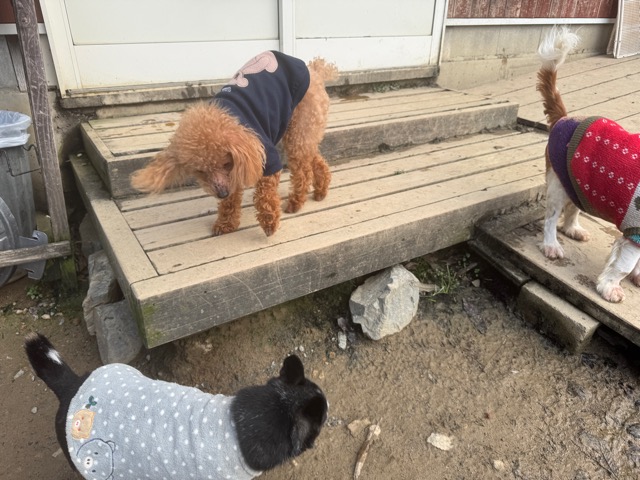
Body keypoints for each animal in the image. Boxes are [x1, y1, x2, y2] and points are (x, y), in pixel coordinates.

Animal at [130, 51, 338, 237]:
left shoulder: (262, 156)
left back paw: (296, 202)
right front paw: (226, 223)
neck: (227, 115)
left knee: (303, 170)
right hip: (304, 134)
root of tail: (315, 70)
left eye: (225, 164)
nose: (221, 193)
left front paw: (269, 223)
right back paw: (321, 191)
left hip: (300, 128)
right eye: (200, 171)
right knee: (315, 159)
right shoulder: (233, 173)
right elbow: (230, 200)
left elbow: (265, 194)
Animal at [537, 26, 640, 303]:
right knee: (550, 219)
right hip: (558, 186)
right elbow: (624, 265)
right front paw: (610, 287)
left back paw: (572, 229)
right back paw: (551, 245)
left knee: (573, 209)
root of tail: (565, 118)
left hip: (580, 184)